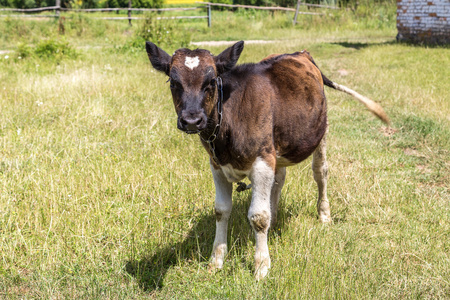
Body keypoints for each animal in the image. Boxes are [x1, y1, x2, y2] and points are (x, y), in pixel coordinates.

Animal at [146, 41, 388, 280]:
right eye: (173, 82)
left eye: (212, 81)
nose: (191, 120)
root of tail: (300, 53)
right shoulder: (216, 165)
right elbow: (221, 210)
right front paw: (216, 260)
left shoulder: (262, 160)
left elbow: (258, 216)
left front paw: (261, 265)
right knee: (279, 179)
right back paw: (275, 215)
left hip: (321, 132)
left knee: (321, 173)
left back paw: (324, 214)